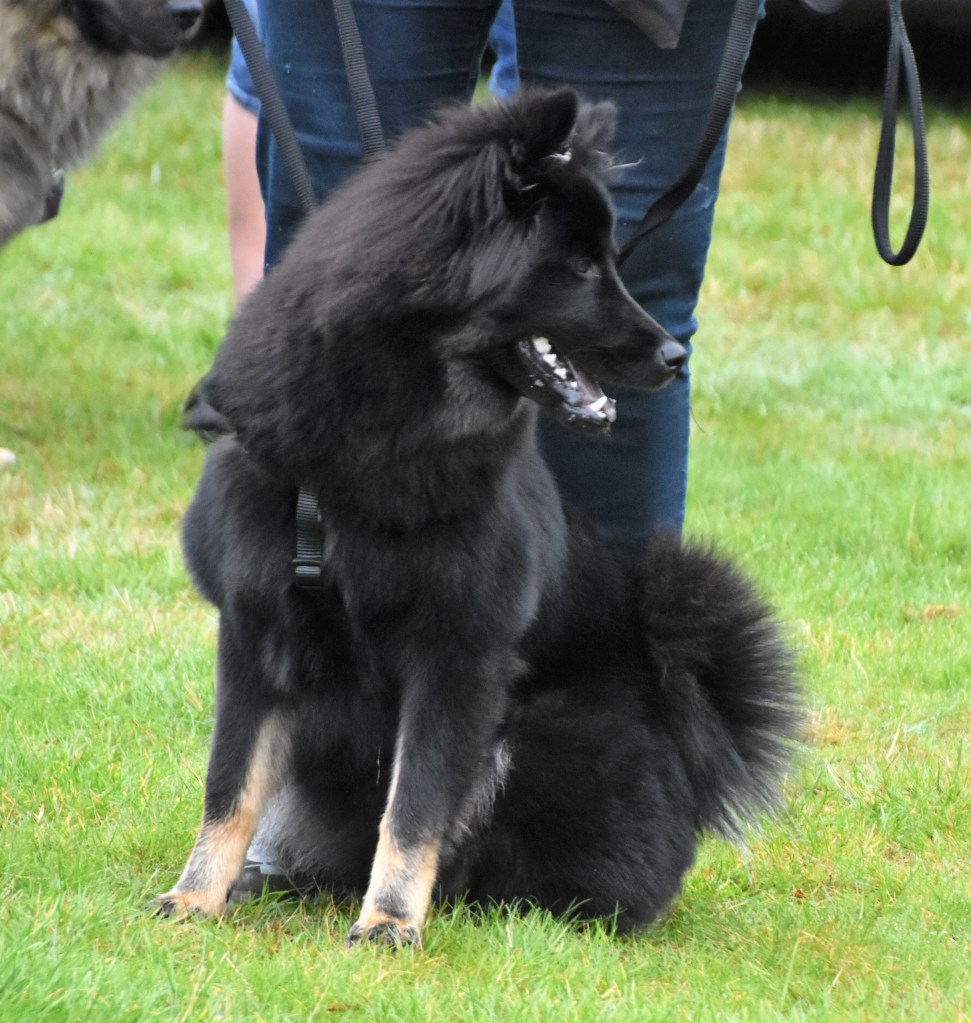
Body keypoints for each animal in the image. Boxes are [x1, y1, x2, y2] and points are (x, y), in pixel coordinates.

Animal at [156, 88, 800, 948]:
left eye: (612, 260)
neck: (366, 447)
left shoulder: (455, 655)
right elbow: (227, 786)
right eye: (582, 267)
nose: (674, 356)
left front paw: (390, 920)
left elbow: (415, 804)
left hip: (533, 732)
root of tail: (685, 745)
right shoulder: (256, 630)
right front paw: (195, 895)